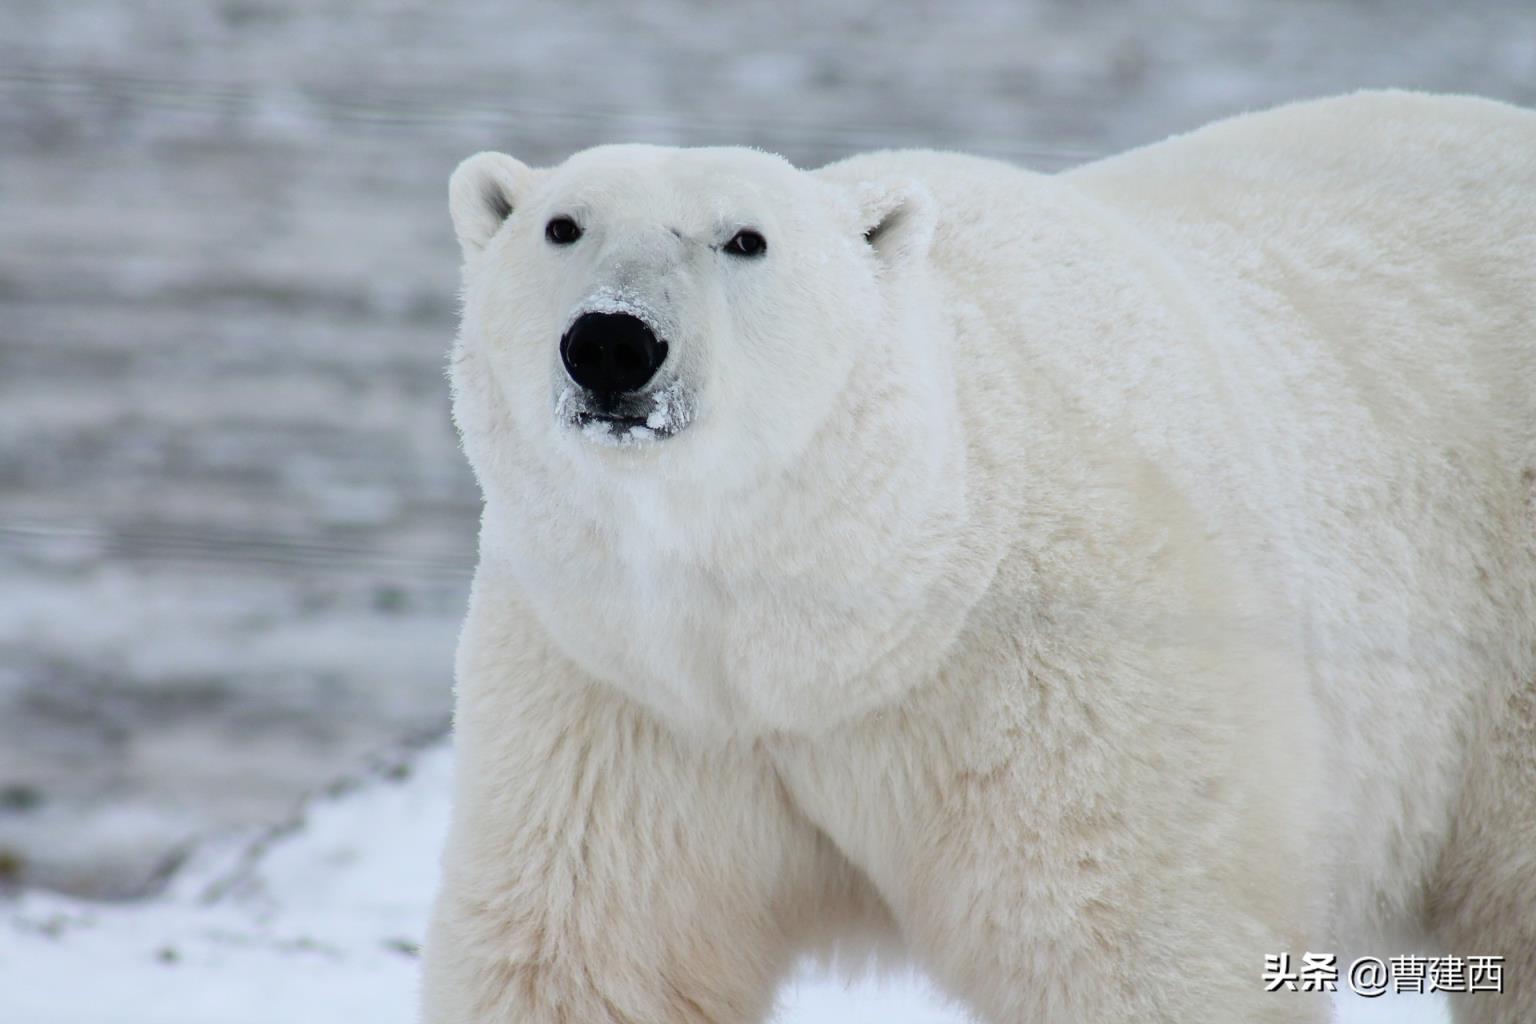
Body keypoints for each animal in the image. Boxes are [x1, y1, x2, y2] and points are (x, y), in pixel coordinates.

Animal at [420, 90, 1536, 1024]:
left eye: (745, 239)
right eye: (562, 225)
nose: (612, 343)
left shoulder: (1067, 676)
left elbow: (1132, 947)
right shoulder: (623, 697)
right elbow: (590, 956)